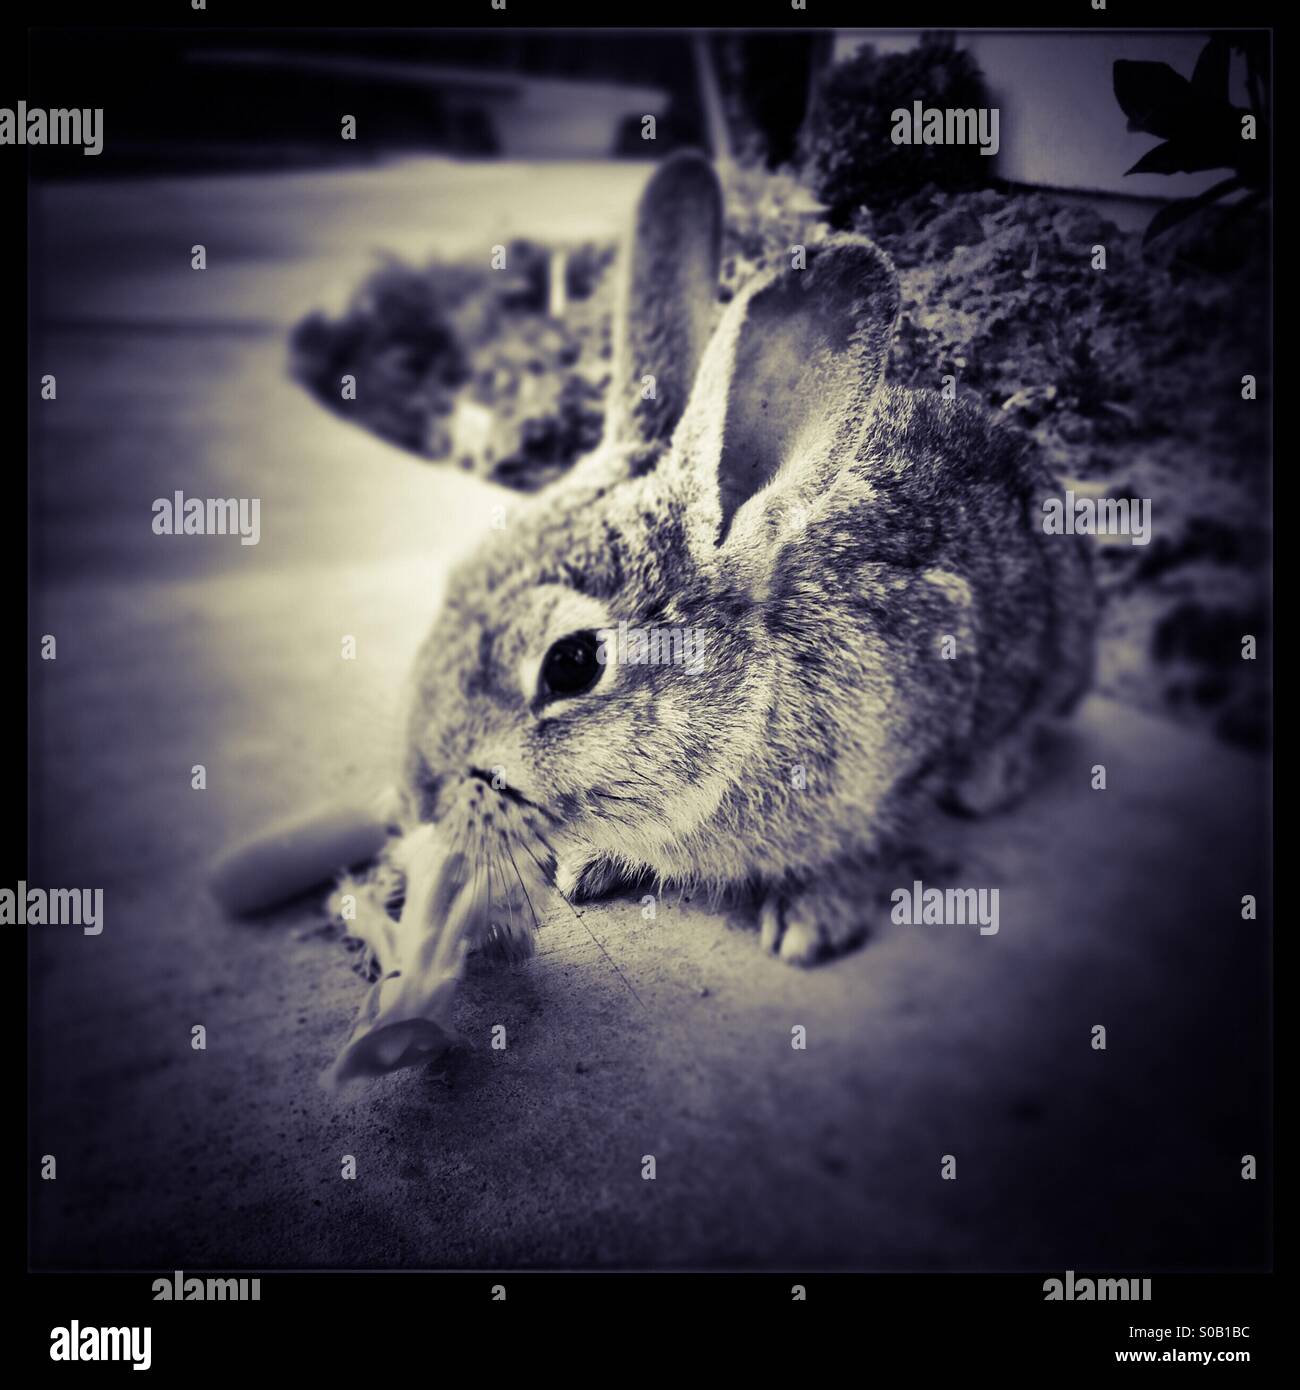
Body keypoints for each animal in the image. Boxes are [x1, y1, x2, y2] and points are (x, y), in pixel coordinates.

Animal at [385, 150, 1096, 968]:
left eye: (571, 664)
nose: (419, 796)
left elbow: (872, 839)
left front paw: (813, 919)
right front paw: (588, 865)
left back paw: (991, 780)